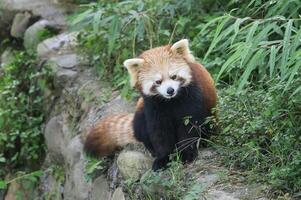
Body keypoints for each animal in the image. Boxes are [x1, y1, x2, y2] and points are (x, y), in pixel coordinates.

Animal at [84, 39, 216, 170]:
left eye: (174, 76)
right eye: (158, 82)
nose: (170, 90)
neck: (171, 101)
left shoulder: (192, 98)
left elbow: (189, 127)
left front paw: (187, 154)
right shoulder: (153, 107)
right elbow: (159, 132)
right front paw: (163, 158)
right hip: (140, 112)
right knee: (140, 128)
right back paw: (152, 150)